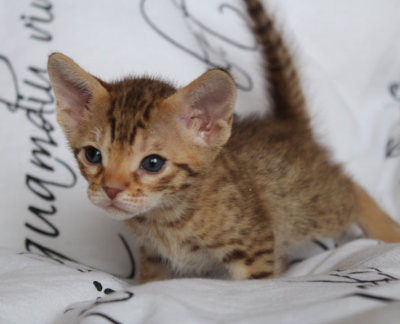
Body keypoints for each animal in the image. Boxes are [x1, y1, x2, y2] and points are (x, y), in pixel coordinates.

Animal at [46, 0, 400, 282]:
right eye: (93, 155)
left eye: (153, 163)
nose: (111, 189)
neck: (165, 218)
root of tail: (287, 124)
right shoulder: (154, 254)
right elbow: (152, 282)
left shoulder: (254, 244)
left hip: (314, 203)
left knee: (351, 188)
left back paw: (389, 231)